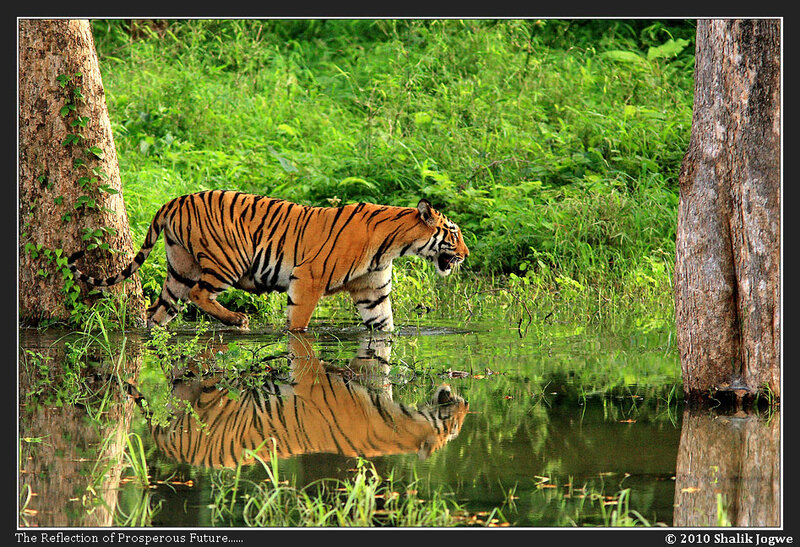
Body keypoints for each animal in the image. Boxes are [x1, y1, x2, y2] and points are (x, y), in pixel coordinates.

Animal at [68, 190, 469, 331]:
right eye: (453, 232)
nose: (465, 256)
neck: (393, 245)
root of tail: (174, 201)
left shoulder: (373, 293)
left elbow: (384, 327)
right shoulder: (307, 278)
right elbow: (298, 324)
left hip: (179, 270)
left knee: (159, 310)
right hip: (226, 259)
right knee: (201, 295)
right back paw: (238, 320)